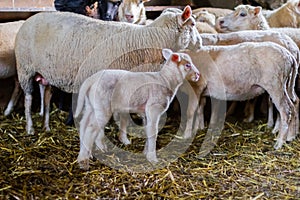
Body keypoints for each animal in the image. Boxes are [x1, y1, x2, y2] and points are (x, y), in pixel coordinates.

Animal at [14, 5, 202, 135]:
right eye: (192, 24)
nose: (200, 45)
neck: (149, 40)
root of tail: (30, 19)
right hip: (25, 68)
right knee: (28, 98)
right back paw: (30, 128)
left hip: (44, 72)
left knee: (45, 96)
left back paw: (46, 126)